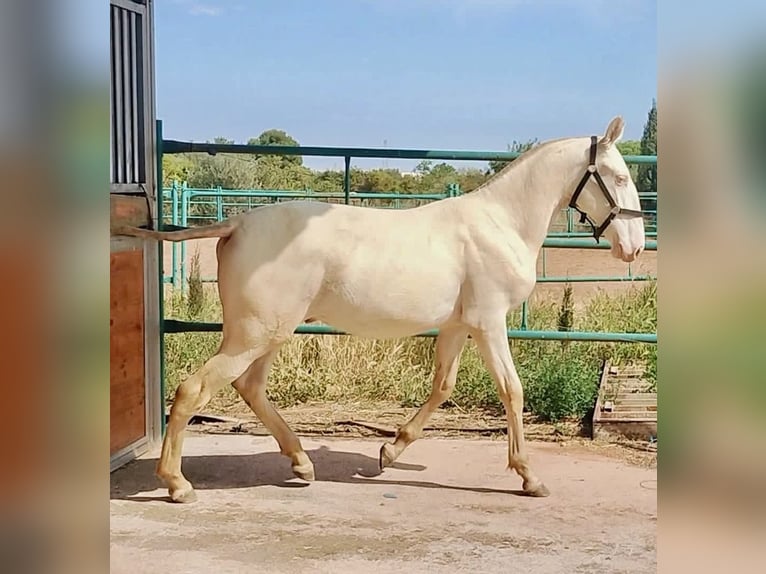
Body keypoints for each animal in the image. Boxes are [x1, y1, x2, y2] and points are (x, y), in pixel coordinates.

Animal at [111, 117, 644, 504]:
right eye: (618, 177)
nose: (634, 246)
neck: (501, 223)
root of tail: (237, 223)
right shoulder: (489, 322)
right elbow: (512, 391)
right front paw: (529, 477)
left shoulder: (458, 326)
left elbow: (443, 386)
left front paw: (390, 450)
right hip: (256, 333)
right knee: (193, 390)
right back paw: (178, 485)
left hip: (271, 332)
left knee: (249, 386)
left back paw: (302, 463)